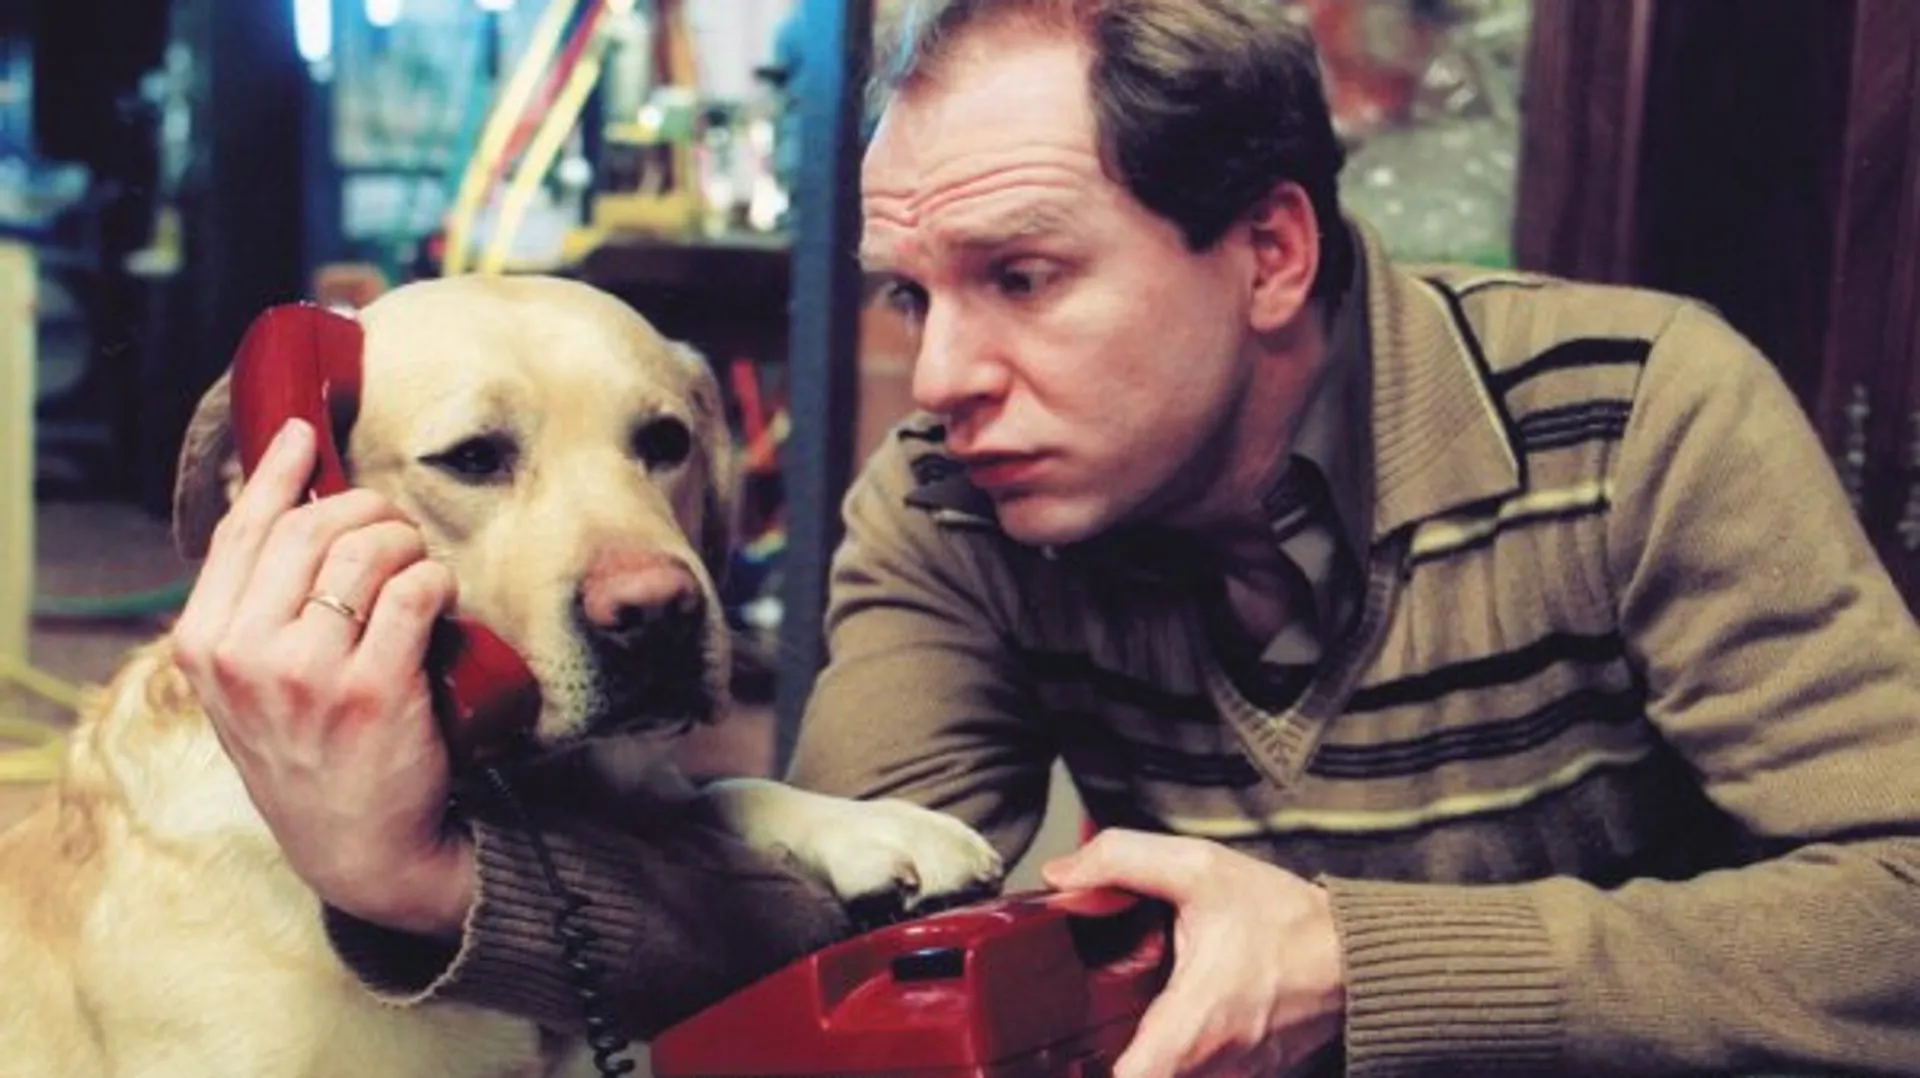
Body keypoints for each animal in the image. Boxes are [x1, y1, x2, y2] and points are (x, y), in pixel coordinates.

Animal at [0, 275, 1004, 1077]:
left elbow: (717, 789)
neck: (511, 793)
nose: (658, 614)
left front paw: (872, 828)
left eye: (665, 440)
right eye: (474, 457)